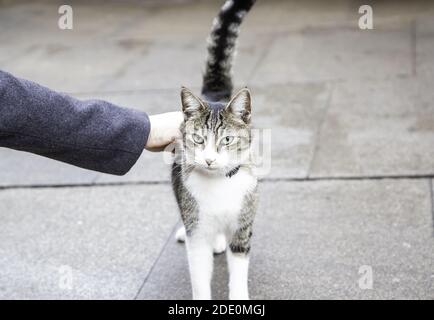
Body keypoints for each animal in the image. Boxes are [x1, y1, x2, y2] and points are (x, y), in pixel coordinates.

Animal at [170, 0, 256, 300]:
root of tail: (213, 95)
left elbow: (239, 270)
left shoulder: (243, 225)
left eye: (227, 140)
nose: (209, 159)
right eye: (198, 139)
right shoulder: (197, 232)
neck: (219, 184)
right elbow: (199, 274)